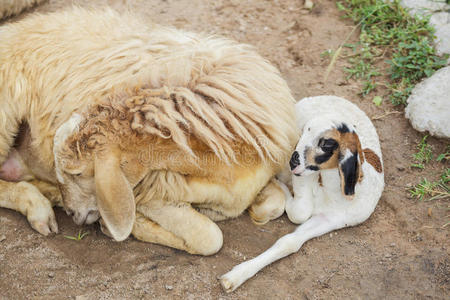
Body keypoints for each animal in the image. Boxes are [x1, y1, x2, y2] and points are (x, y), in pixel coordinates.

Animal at [0, 8, 298, 254]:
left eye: (77, 173)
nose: (73, 213)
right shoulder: (151, 192)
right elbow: (209, 237)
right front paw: (127, 226)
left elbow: (275, 203)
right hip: (5, 115)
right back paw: (39, 207)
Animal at [220, 96, 384, 292]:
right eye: (306, 129)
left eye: (326, 143)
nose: (293, 161)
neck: (329, 193)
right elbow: (300, 211)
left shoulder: (331, 220)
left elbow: (290, 240)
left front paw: (234, 277)